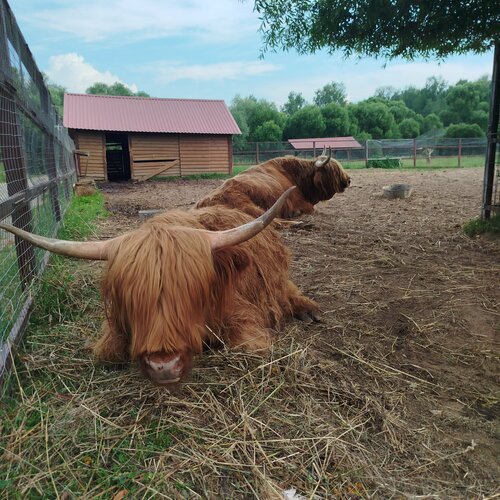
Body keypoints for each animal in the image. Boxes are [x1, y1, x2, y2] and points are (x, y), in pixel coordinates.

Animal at [0, 188, 319, 386]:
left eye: (195, 292)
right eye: (132, 299)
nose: (164, 366)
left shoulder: (243, 316)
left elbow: (249, 345)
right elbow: (108, 351)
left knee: (287, 290)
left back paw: (308, 309)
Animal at [196, 148, 351, 222]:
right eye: (333, 170)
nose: (348, 180)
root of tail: (202, 203)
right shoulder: (303, 203)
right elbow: (313, 209)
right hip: (252, 208)